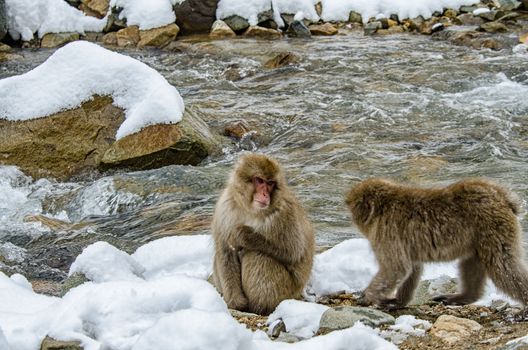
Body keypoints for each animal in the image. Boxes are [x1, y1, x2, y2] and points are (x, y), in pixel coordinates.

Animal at [210, 153, 316, 314]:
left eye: (270, 183)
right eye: (259, 180)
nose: (265, 194)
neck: (250, 210)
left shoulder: (284, 212)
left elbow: (293, 252)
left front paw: (243, 236)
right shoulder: (225, 207)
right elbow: (225, 252)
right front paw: (237, 303)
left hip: (288, 291)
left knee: (258, 255)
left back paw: (262, 308)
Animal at [344, 178, 528, 308]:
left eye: (354, 209)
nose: (352, 217)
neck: (382, 209)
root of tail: (502, 196)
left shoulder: (388, 231)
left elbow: (396, 268)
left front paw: (368, 296)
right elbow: (411, 268)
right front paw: (398, 301)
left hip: (492, 227)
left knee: (502, 265)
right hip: (478, 237)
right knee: (472, 263)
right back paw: (462, 297)